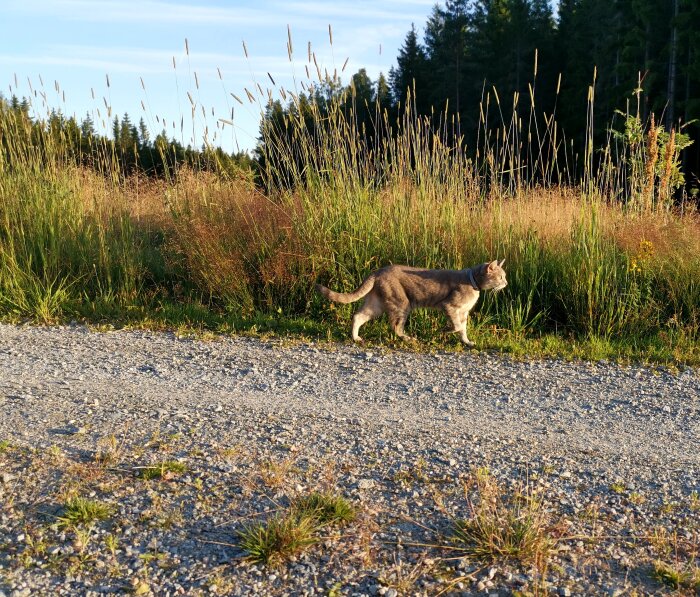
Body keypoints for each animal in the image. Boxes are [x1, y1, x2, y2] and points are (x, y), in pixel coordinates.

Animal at [314, 258, 506, 344]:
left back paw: (356, 338)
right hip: (401, 303)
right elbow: (457, 326)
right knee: (395, 326)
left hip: (376, 304)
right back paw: (408, 338)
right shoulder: (449, 306)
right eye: (501, 277)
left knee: (357, 316)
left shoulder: (463, 312)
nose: (506, 283)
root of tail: (378, 270)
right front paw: (445, 330)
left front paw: (466, 342)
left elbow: (463, 329)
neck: (473, 282)